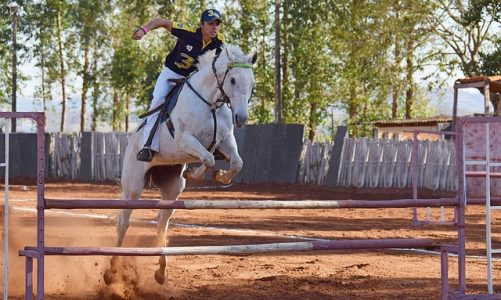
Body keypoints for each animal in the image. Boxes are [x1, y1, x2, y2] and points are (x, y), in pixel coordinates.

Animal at [103, 44, 256, 286]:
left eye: (252, 83)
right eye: (232, 80)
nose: (241, 118)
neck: (210, 102)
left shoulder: (225, 140)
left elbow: (235, 163)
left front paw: (220, 176)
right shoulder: (186, 140)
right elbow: (208, 158)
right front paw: (194, 174)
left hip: (172, 191)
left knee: (161, 227)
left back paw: (161, 272)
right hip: (133, 186)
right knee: (123, 224)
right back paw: (111, 273)